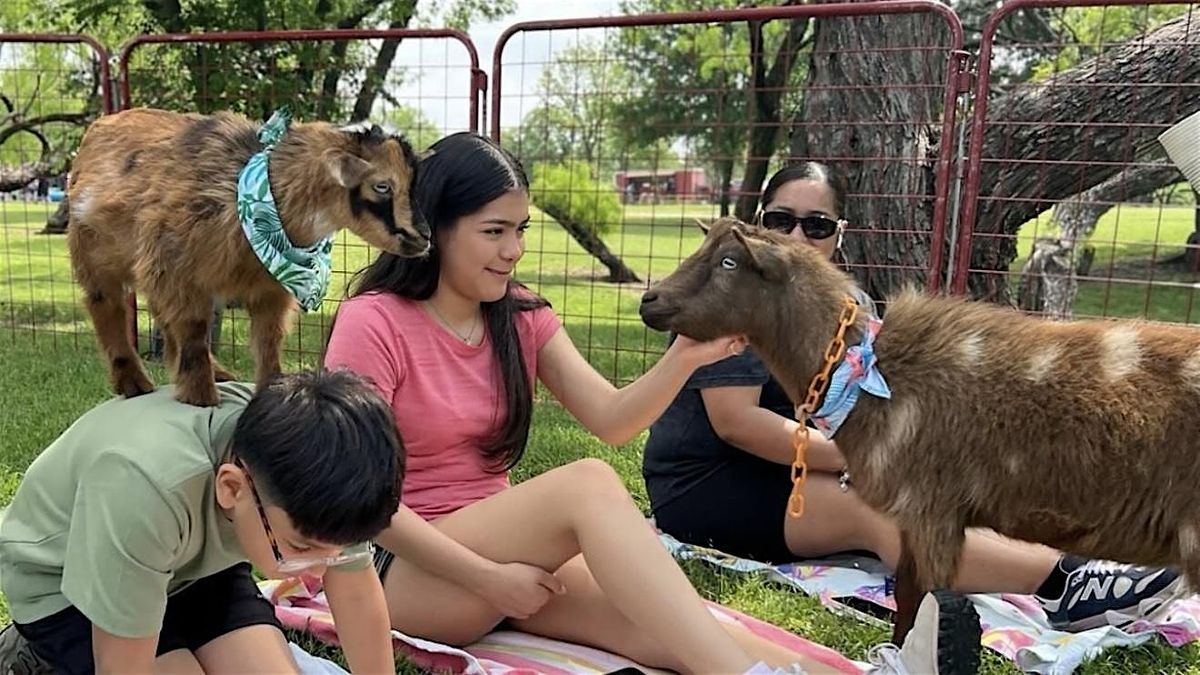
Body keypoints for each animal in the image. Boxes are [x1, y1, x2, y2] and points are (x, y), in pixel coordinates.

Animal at [68, 106, 430, 406]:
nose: (423, 237)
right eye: (382, 186)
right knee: (107, 306)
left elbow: (268, 340)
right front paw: (201, 399)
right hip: (94, 253)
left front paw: (273, 391)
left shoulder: (270, 288)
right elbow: (195, 332)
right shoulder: (177, 269)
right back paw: (133, 382)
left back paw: (216, 373)